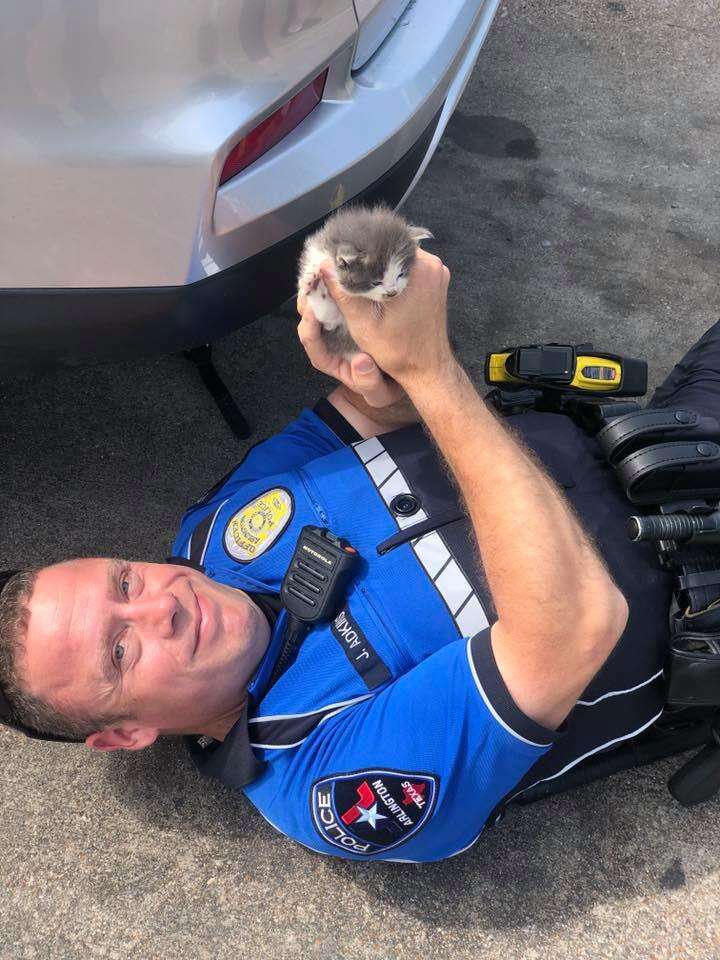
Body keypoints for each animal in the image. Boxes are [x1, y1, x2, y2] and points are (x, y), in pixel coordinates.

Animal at [298, 205, 434, 356]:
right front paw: (314, 284)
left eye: (401, 274)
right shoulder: (331, 326)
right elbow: (327, 315)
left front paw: (315, 285)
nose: (393, 293)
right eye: (376, 282)